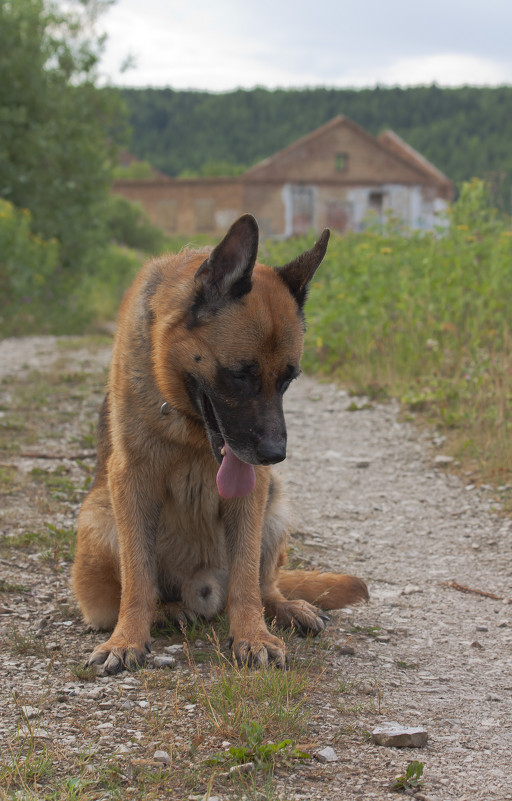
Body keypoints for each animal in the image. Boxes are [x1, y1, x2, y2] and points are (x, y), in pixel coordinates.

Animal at [73, 212, 368, 668]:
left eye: (288, 380)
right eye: (240, 376)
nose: (274, 455)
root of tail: (205, 589)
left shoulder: (252, 493)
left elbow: (246, 578)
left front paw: (252, 635)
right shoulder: (132, 480)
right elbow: (138, 578)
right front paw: (126, 641)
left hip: (275, 505)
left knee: (263, 585)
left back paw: (283, 608)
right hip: (98, 517)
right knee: (145, 588)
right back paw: (169, 610)